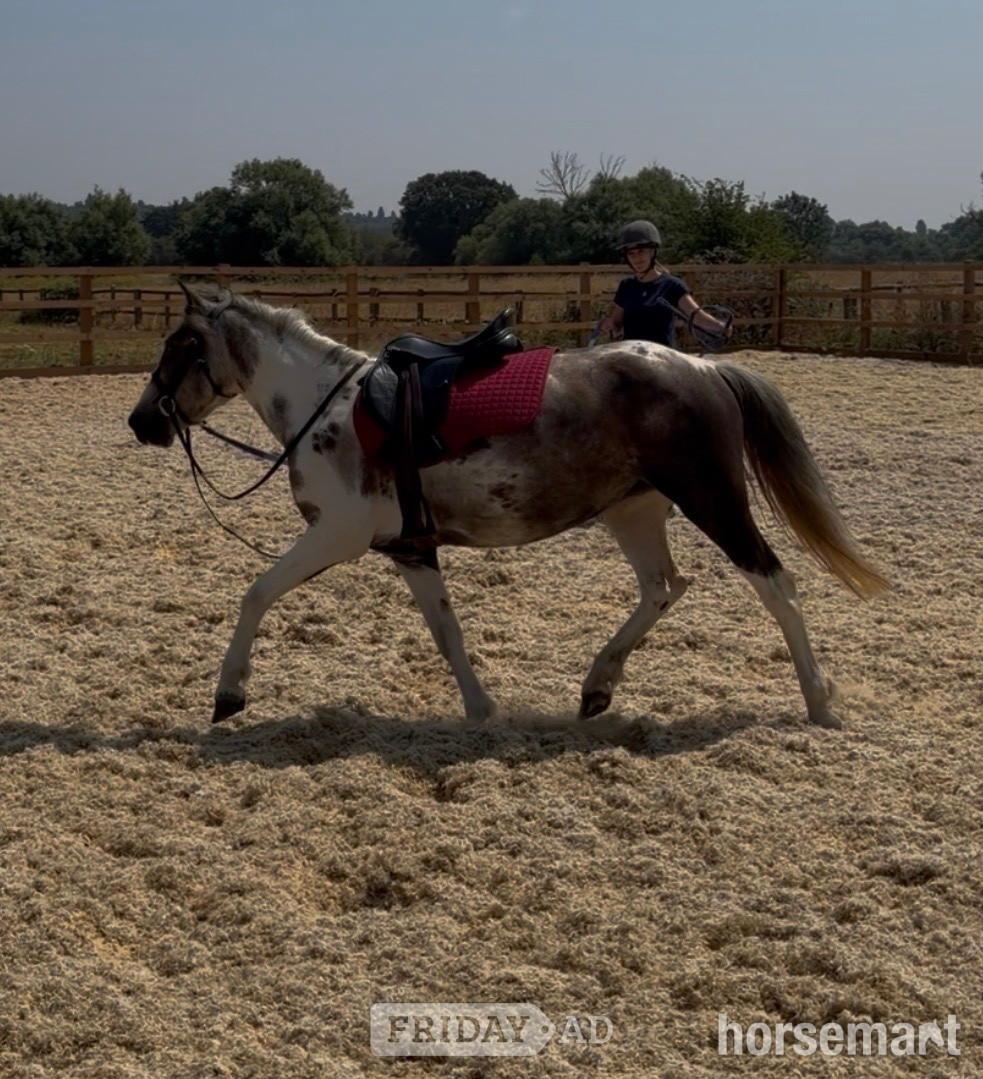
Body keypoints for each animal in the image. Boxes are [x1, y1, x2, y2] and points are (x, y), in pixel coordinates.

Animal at [127, 284, 888, 730]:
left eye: (180, 345)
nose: (141, 422)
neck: (328, 408)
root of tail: (704, 367)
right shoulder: (409, 548)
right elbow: (446, 632)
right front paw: (481, 710)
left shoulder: (336, 536)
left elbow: (256, 593)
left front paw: (229, 693)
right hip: (633, 511)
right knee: (663, 588)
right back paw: (596, 687)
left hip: (712, 500)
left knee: (776, 586)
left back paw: (819, 702)